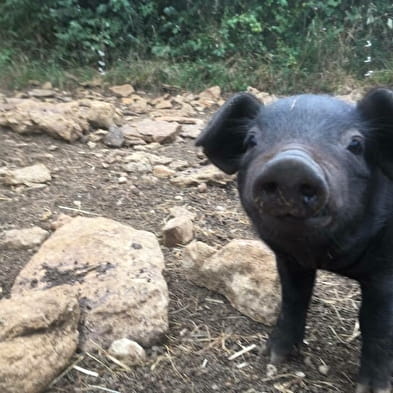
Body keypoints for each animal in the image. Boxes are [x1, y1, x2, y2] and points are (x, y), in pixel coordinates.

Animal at [198, 89, 392, 392]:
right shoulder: (289, 261)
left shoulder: (385, 270)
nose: (290, 165)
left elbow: (377, 322)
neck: (325, 256)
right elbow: (293, 298)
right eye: (251, 140)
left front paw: (373, 389)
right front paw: (272, 358)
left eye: (356, 144)